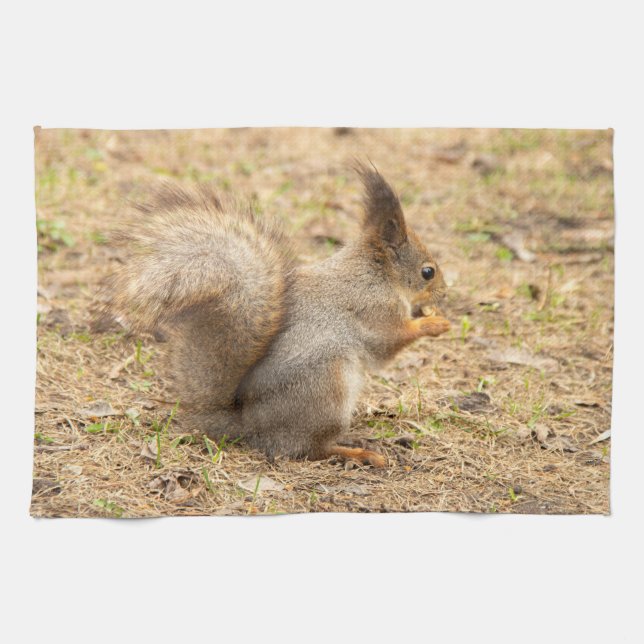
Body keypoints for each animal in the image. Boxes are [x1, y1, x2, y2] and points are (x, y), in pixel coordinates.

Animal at [100, 163, 450, 467]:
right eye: (428, 272)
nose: (445, 294)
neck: (375, 274)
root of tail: (249, 425)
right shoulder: (374, 309)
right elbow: (388, 343)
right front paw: (434, 323)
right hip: (326, 391)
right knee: (309, 449)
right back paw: (357, 453)